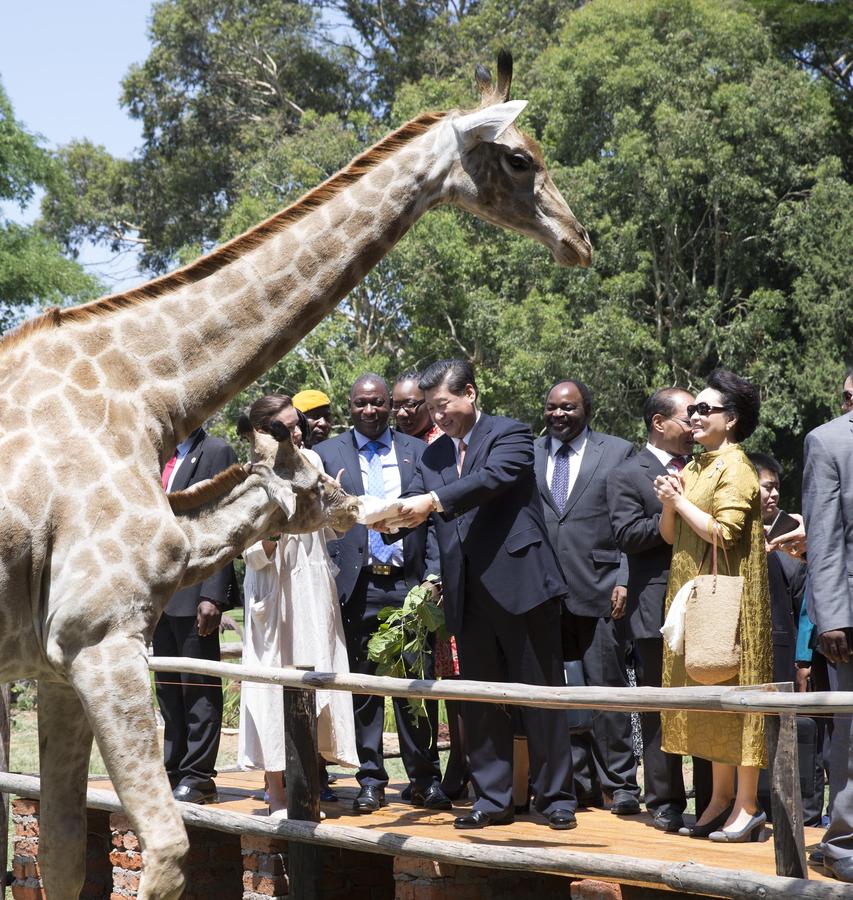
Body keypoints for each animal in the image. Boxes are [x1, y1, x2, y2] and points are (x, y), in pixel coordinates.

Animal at [0, 52, 584, 896]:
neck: (141, 392)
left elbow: (66, 854)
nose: (578, 239)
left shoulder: (55, 662)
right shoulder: (97, 636)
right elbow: (163, 848)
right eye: (518, 158)